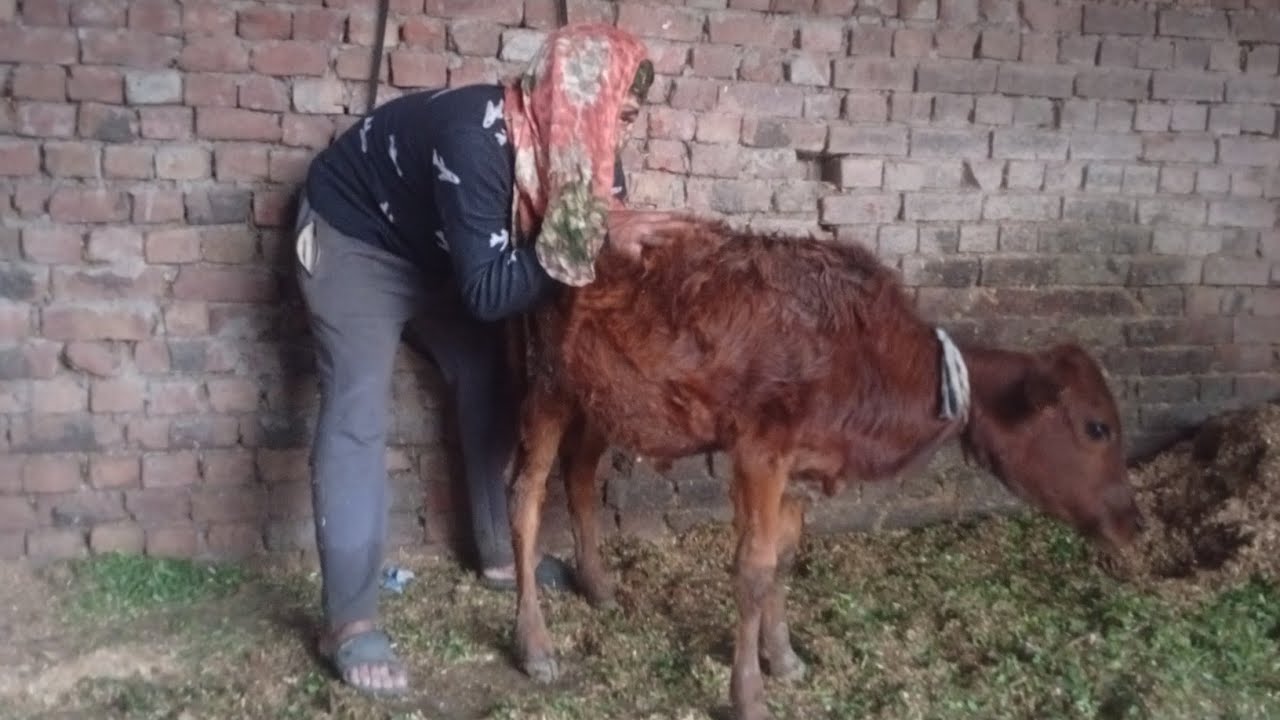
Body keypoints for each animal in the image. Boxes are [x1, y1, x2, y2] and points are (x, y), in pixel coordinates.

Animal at [504, 215, 1144, 720]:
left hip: (605, 399)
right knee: (526, 498)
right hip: (547, 384)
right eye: (1097, 427)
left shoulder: (802, 466)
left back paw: (597, 585)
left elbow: (784, 560)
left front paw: (785, 658)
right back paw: (536, 646)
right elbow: (754, 569)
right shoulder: (760, 450)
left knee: (579, 476)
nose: (1134, 523)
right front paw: (749, 696)